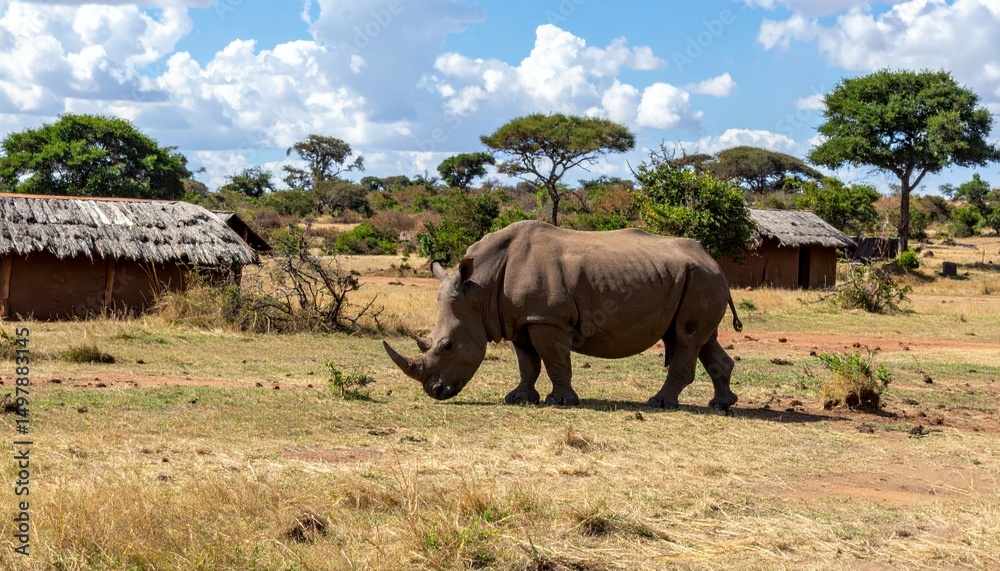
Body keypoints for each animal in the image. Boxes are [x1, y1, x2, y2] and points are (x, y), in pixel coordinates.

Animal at [383, 220, 743, 409]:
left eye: (447, 346)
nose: (435, 392)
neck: (480, 288)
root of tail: (714, 261)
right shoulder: (521, 319)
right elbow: (527, 362)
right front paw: (518, 399)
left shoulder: (546, 318)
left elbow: (554, 359)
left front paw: (561, 401)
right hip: (698, 278)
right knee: (701, 339)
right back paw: (721, 404)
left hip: (702, 279)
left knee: (686, 337)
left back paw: (659, 403)